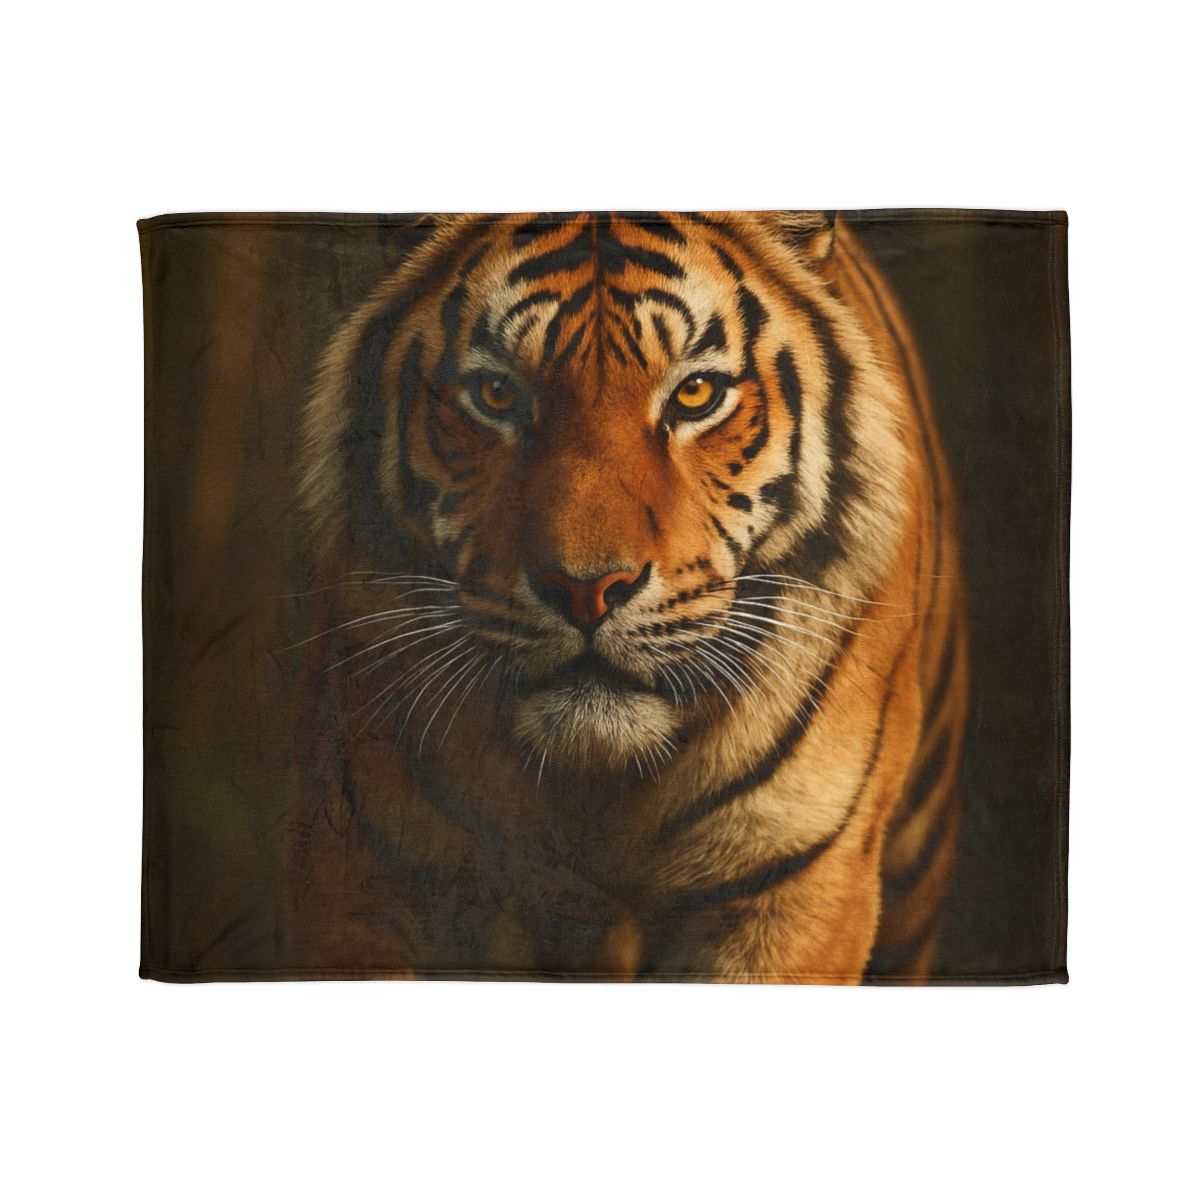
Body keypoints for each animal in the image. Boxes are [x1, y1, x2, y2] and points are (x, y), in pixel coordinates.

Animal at [293, 211, 968, 983]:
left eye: (696, 394)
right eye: (496, 394)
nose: (586, 590)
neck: (594, 788)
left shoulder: (789, 884)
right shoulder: (363, 873)